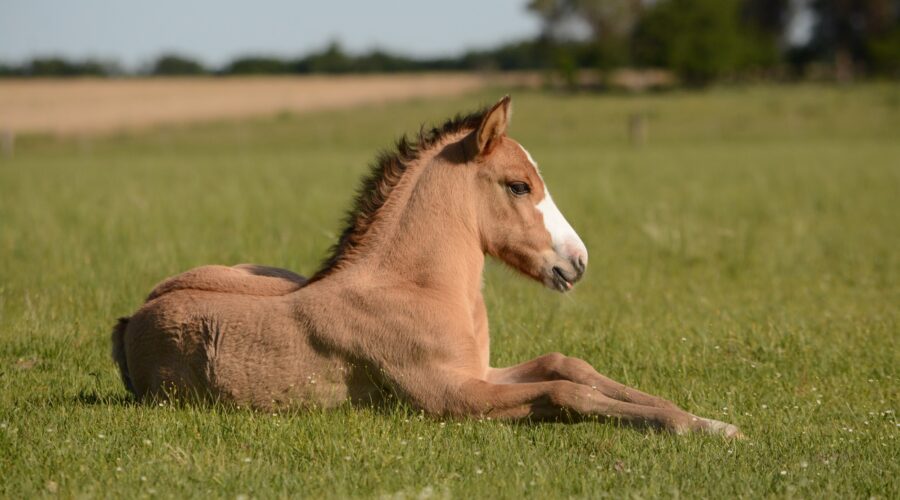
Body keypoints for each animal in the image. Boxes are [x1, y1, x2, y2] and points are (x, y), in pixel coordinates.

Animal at [112, 96, 740, 438]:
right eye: (518, 185)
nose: (577, 261)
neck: (415, 289)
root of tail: (130, 318)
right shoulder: (450, 397)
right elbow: (566, 393)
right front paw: (692, 427)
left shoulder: (481, 372)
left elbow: (569, 366)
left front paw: (709, 421)